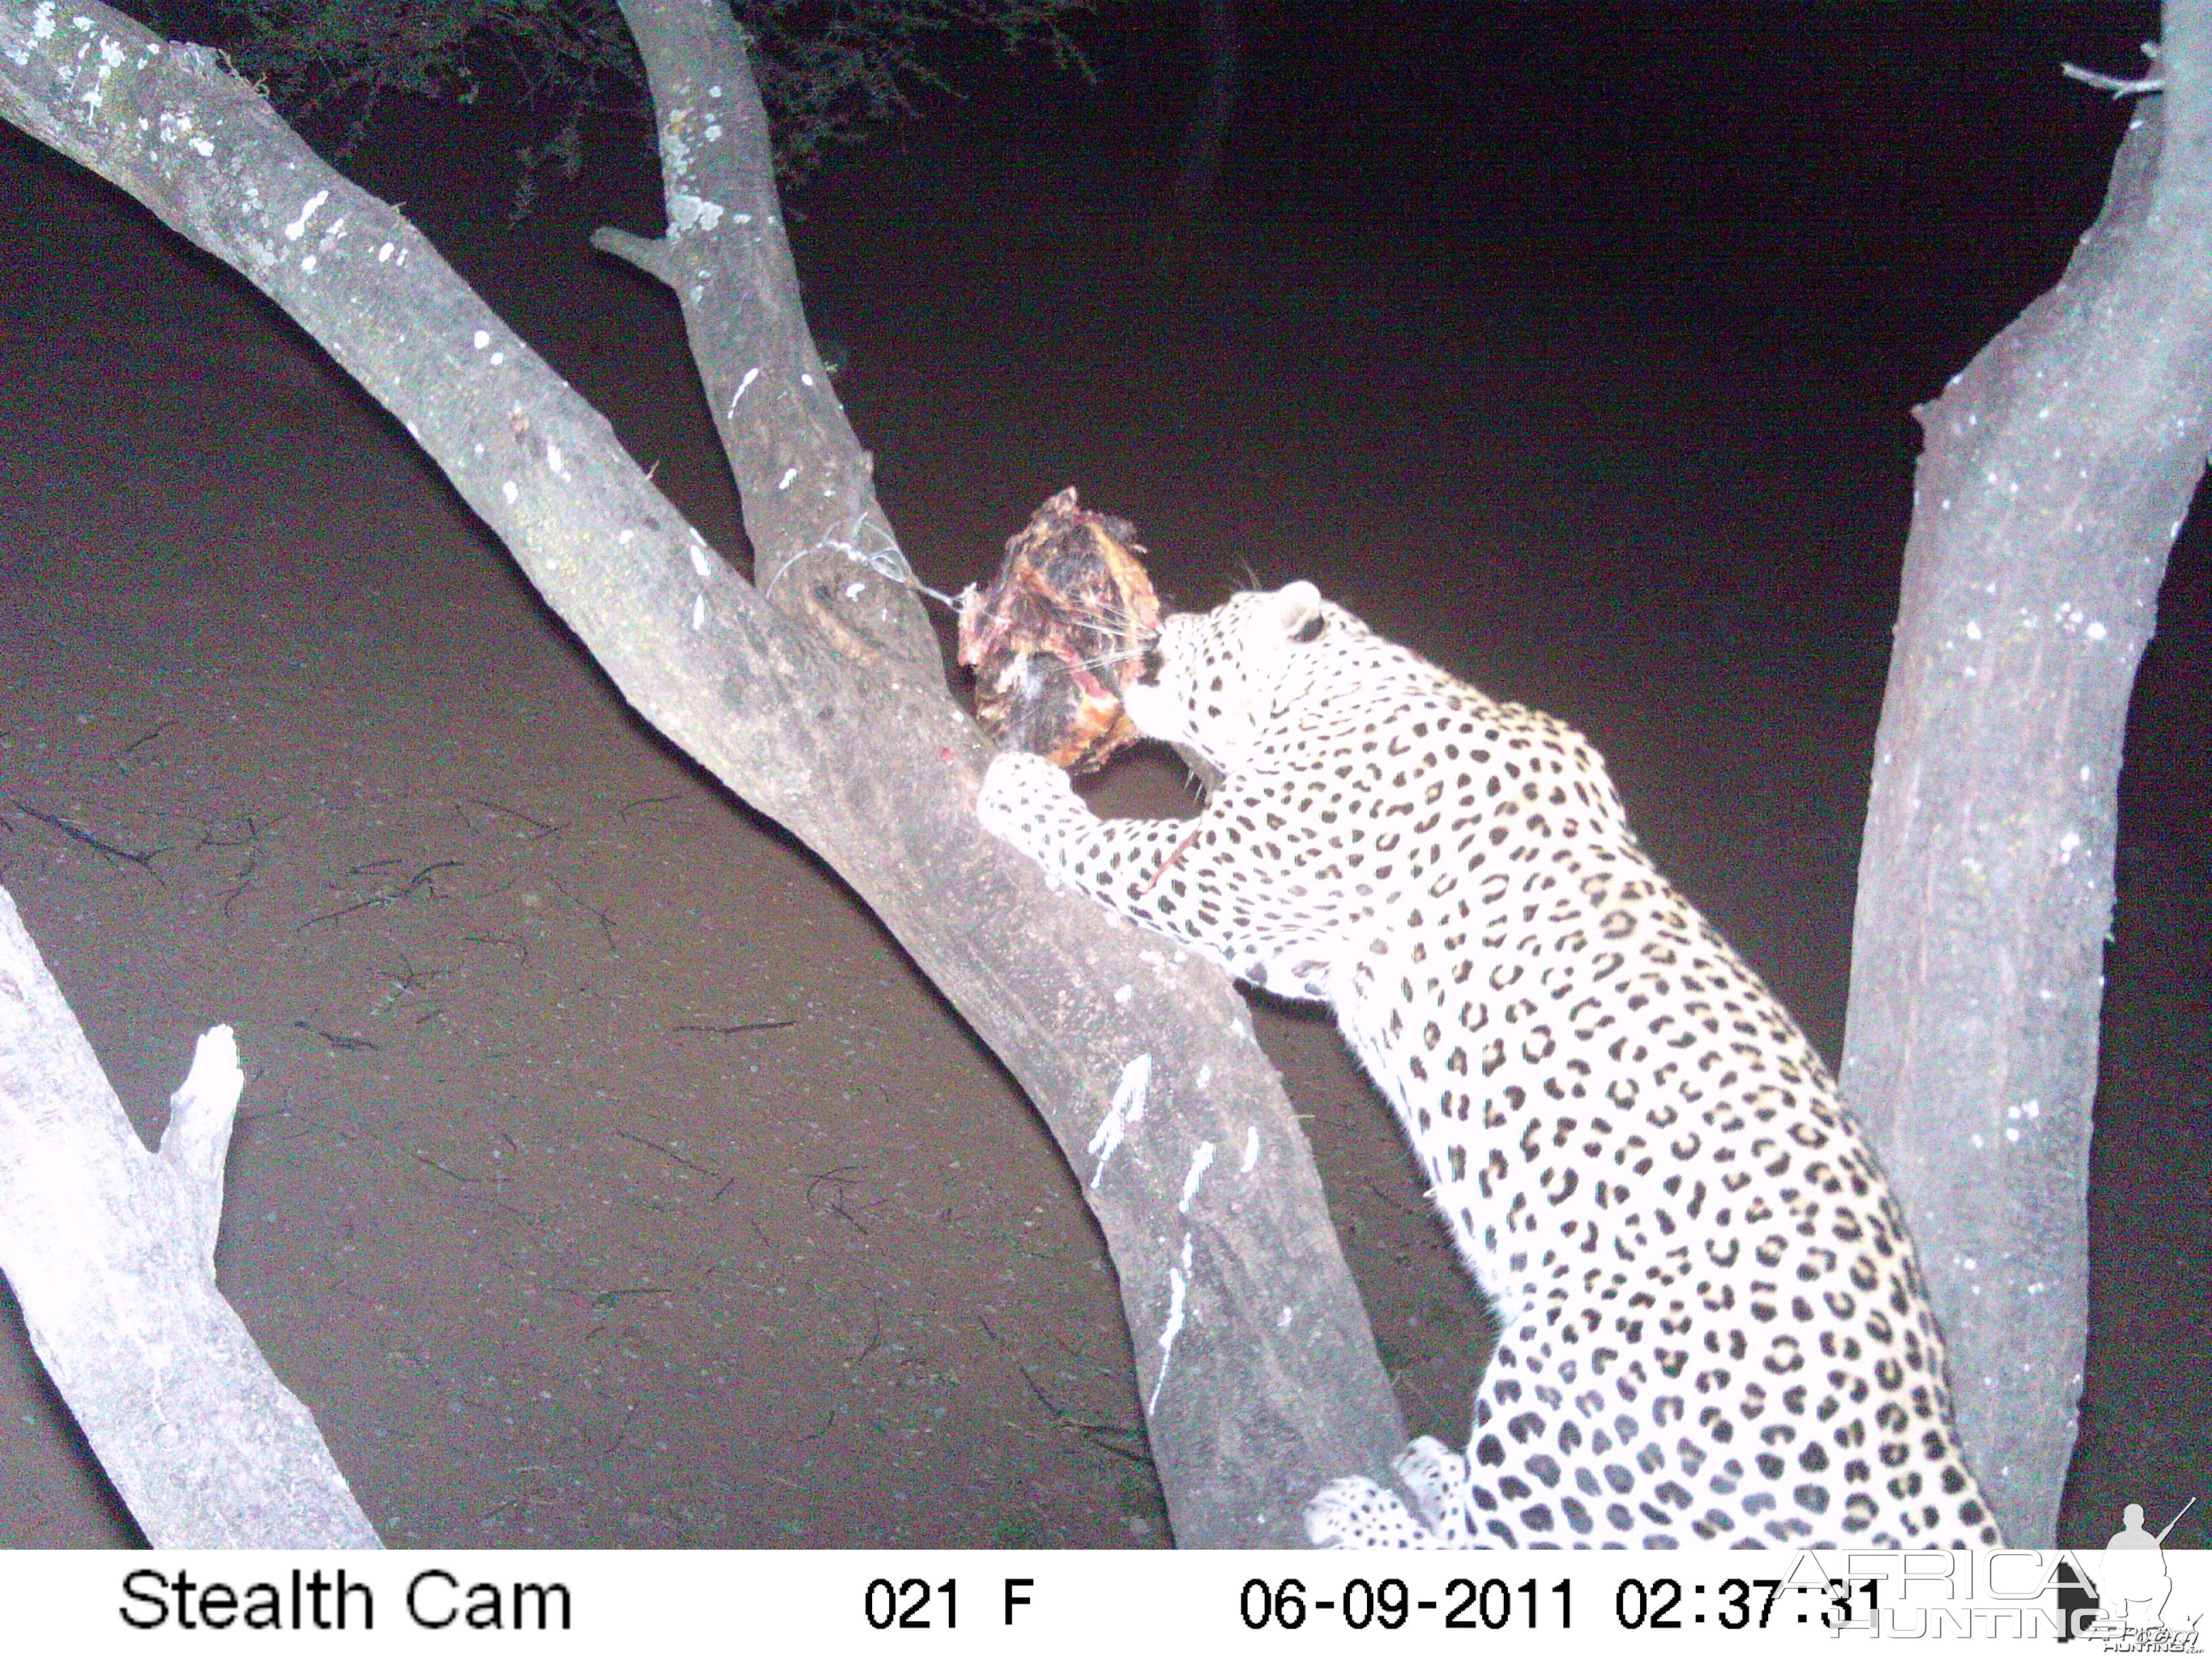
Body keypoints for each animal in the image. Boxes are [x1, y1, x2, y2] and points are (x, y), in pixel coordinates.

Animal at [973, 579, 2008, 1557]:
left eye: (1220, 613)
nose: (1161, 623)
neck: (1345, 689)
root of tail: (1930, 1460)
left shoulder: (1223, 876)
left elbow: (1115, 845)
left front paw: (1020, 788)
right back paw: (1439, 1474)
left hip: (1564, 1362)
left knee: (1508, 1550)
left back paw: (1378, 1511)